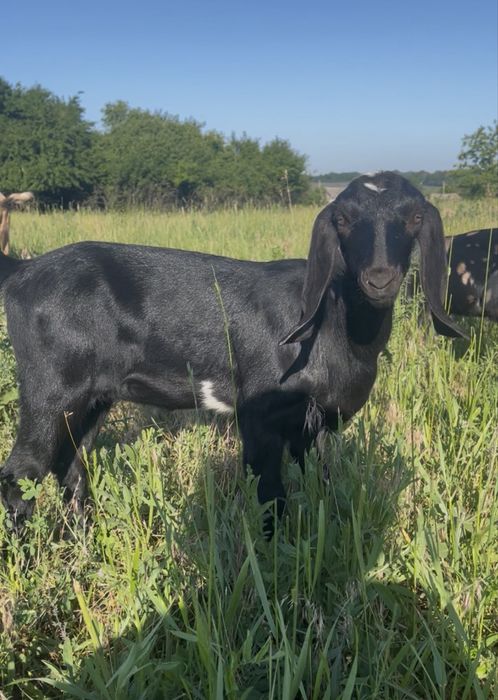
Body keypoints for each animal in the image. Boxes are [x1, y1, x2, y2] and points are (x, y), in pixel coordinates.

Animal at [0, 172, 464, 532]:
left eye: (415, 217)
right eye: (343, 219)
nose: (380, 278)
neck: (332, 321)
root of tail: (23, 271)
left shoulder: (313, 425)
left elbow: (322, 483)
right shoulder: (260, 415)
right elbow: (270, 493)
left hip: (92, 398)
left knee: (70, 464)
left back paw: (82, 534)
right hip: (50, 389)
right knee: (20, 473)